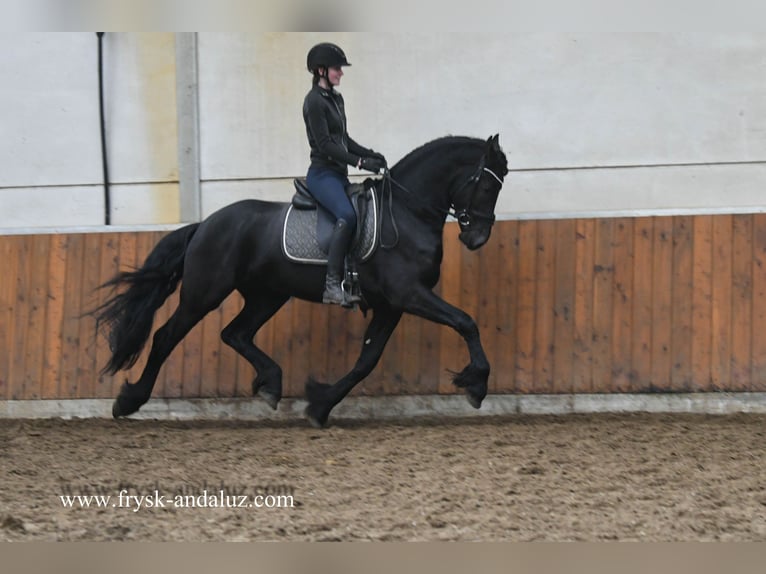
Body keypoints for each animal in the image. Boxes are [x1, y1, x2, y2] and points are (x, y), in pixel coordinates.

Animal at [99, 135, 512, 428]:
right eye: (488, 186)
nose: (476, 239)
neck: (406, 212)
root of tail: (205, 224)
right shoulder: (409, 294)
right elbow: (466, 322)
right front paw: (477, 384)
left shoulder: (390, 305)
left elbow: (367, 360)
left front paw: (320, 404)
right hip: (204, 294)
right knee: (166, 337)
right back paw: (130, 400)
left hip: (267, 296)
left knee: (235, 333)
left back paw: (272, 383)